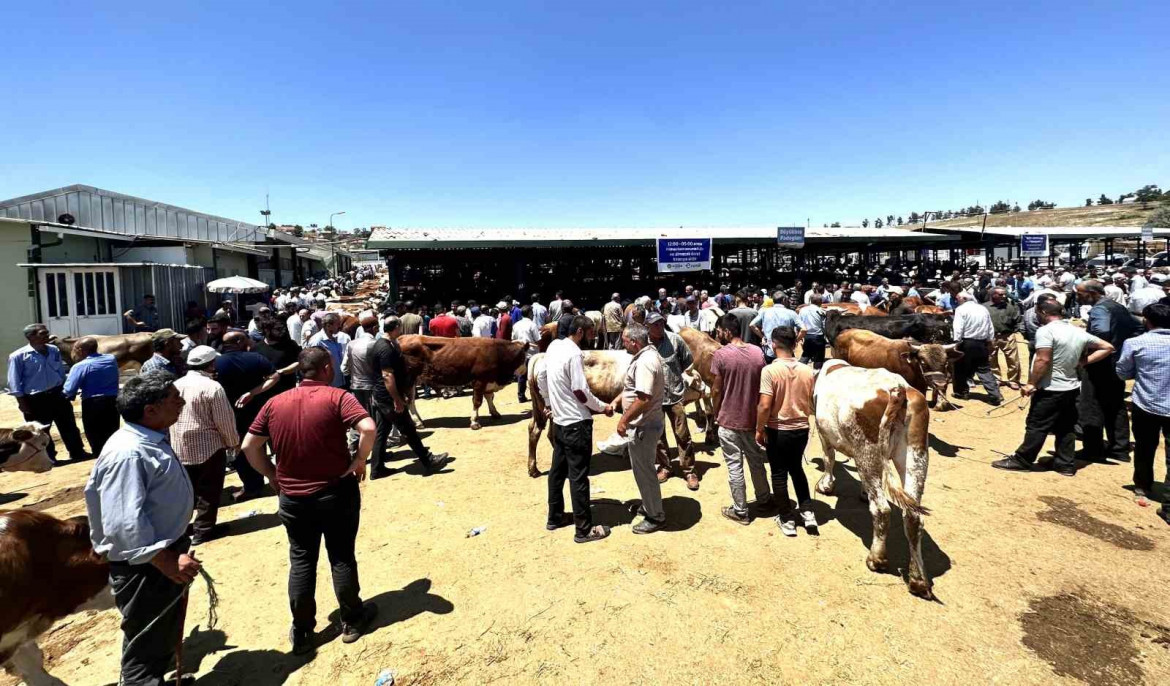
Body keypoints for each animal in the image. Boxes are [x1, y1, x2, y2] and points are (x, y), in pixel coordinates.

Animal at [814, 360, 931, 594]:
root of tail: (897, 389)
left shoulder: (823, 433)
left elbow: (828, 458)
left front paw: (826, 486)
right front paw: (863, 491)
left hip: (867, 448)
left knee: (882, 509)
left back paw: (876, 559)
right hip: (915, 453)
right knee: (913, 516)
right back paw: (918, 579)